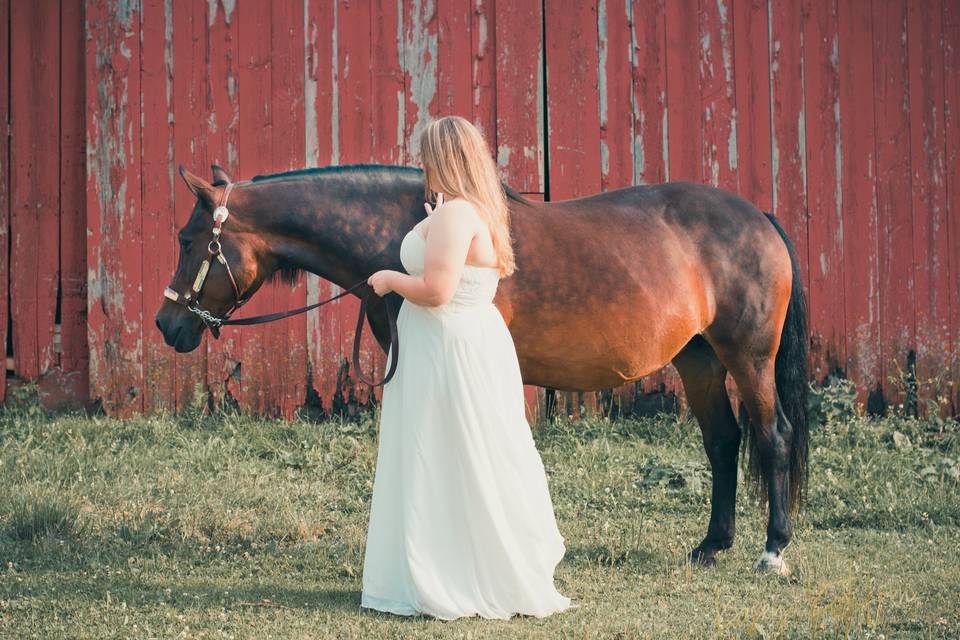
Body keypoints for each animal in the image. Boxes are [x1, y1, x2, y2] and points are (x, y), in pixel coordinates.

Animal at [158, 160, 808, 576]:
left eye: (189, 240)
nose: (168, 326)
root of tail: (759, 217)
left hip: (748, 357)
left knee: (772, 437)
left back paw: (773, 550)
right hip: (698, 359)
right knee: (723, 442)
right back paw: (711, 546)